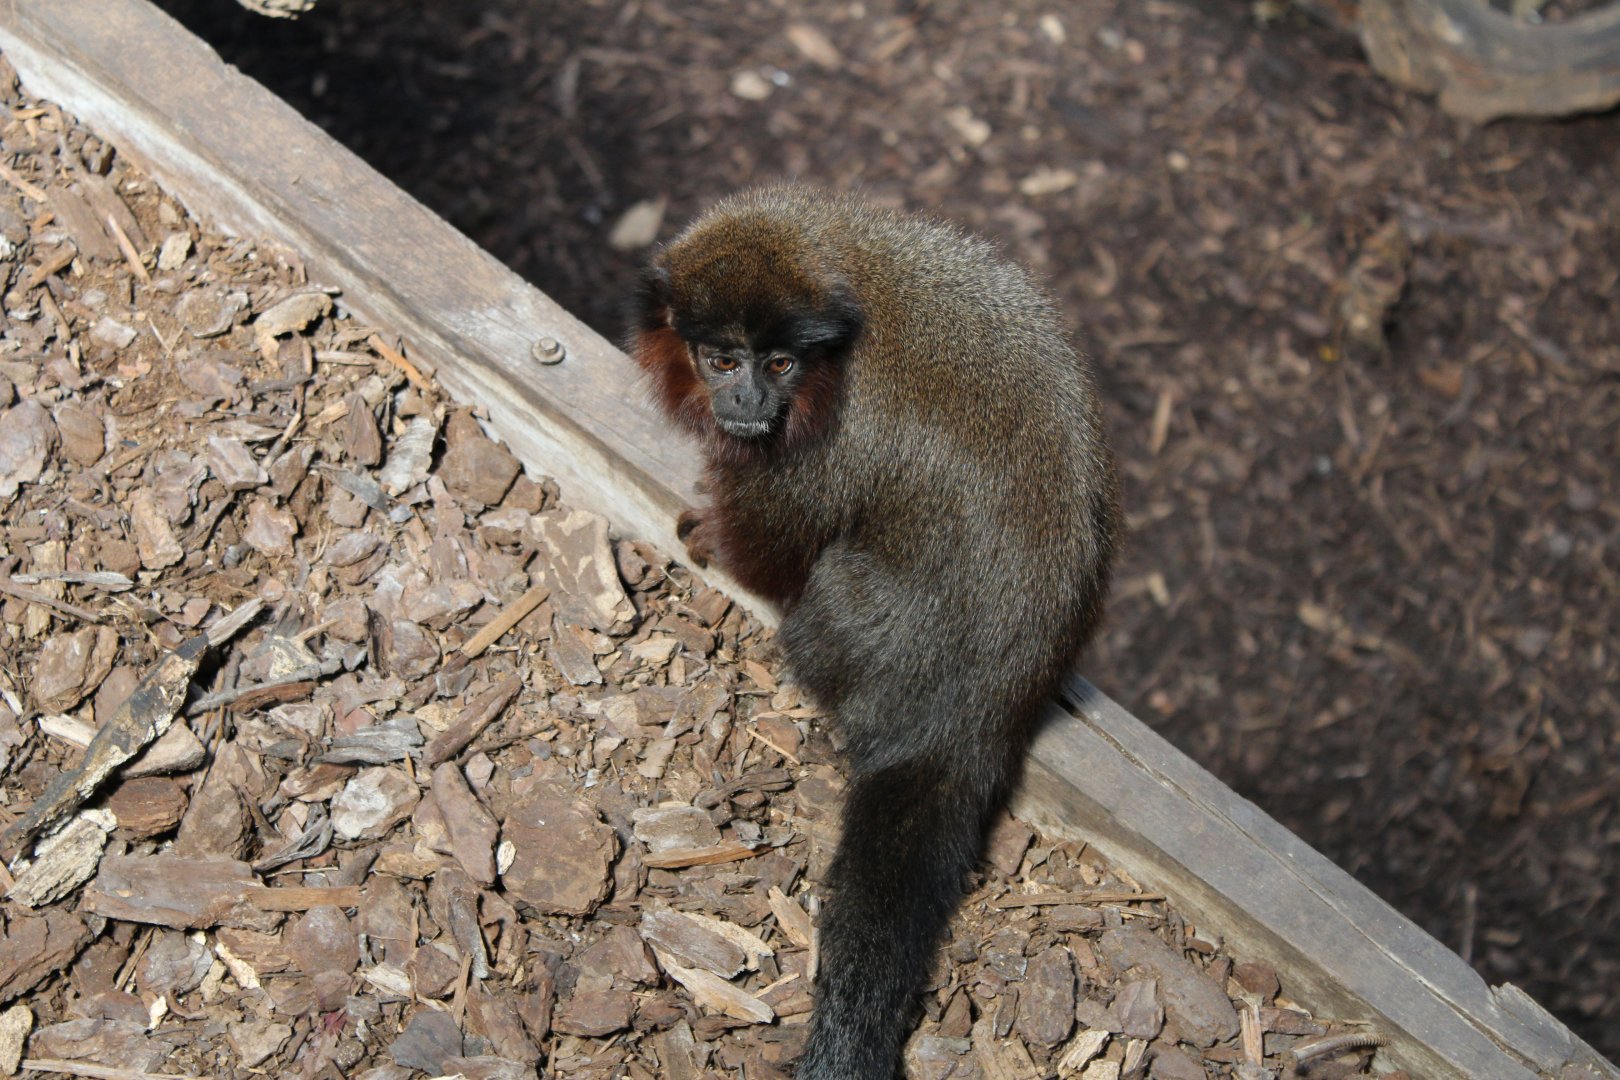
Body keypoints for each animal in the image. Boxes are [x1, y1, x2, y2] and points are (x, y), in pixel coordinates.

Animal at [629, 186, 1120, 1079]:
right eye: (723, 361)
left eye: (778, 366)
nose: (747, 404)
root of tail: (969, 720)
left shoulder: (821, 447)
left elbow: (778, 545)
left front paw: (715, 535)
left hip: (846, 633)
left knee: (825, 583)